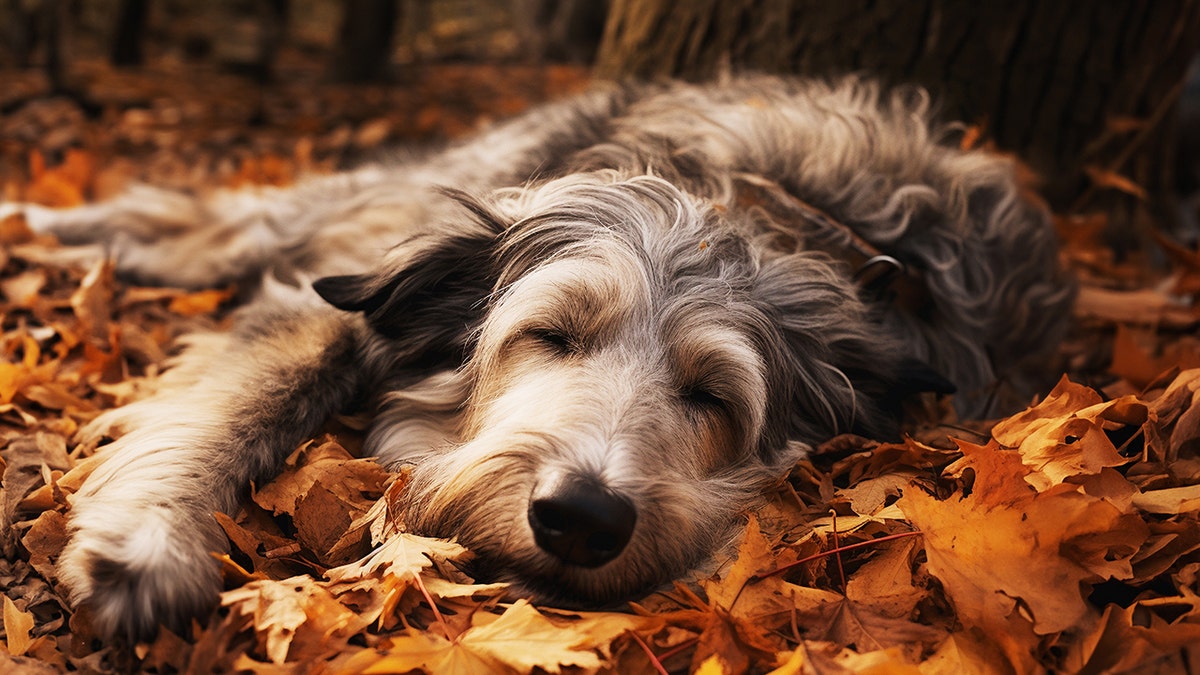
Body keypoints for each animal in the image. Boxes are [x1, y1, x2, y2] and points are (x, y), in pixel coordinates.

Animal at [4, 73, 1075, 634]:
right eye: (551, 335)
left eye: (712, 395)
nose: (582, 519)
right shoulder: (336, 305)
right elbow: (255, 392)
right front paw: (151, 532)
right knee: (193, 220)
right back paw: (43, 222)